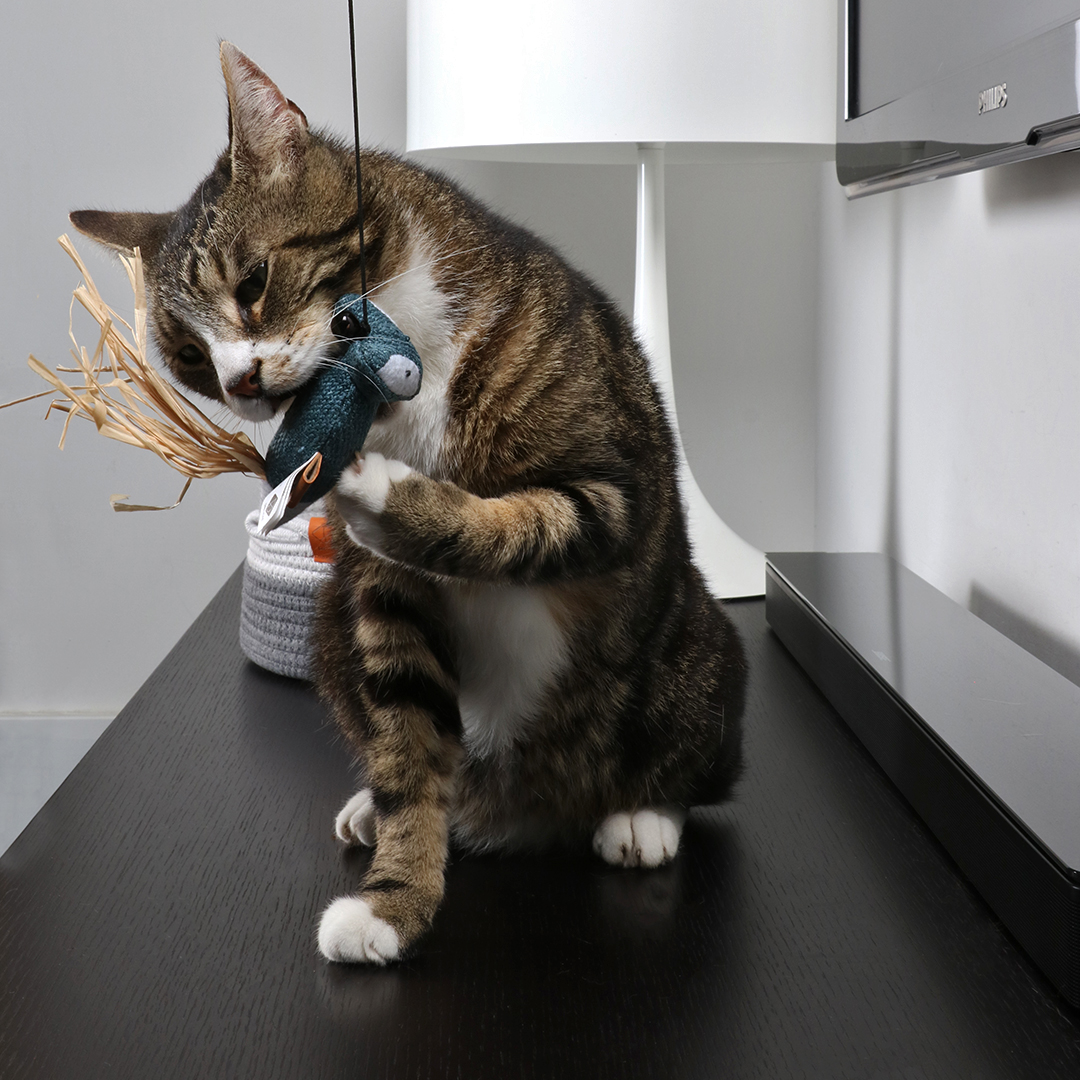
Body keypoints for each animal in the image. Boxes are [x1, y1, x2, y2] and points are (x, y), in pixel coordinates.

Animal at [71, 44, 747, 963]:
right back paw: (379, 807)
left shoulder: (609, 493)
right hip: (332, 635)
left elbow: (514, 523)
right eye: (188, 357)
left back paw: (640, 815)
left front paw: (376, 489)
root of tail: (528, 816)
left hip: (696, 654)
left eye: (254, 281)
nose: (241, 383)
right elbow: (407, 744)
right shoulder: (381, 603)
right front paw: (394, 901)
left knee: (695, 764)